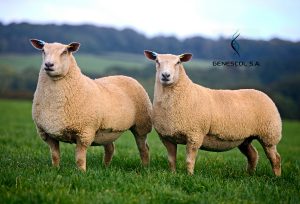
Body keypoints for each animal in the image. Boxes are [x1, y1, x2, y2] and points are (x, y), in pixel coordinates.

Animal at [29, 39, 152, 171]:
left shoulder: (84, 132)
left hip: (141, 125)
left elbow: (79, 158)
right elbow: (55, 155)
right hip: (107, 130)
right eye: (43, 50)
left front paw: (81, 172)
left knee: (143, 148)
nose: (48, 64)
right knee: (110, 148)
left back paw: (145, 167)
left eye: (65, 52)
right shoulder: (47, 134)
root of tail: (125, 76)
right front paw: (55, 170)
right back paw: (105, 167)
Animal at [144, 50, 282, 176]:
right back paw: (249, 175)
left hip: (269, 135)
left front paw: (190, 176)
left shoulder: (195, 135)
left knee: (275, 158)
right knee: (253, 155)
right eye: (157, 61)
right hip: (245, 138)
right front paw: (173, 174)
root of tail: (262, 93)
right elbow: (171, 160)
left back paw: (276, 177)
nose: (165, 75)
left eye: (178, 62)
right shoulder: (167, 137)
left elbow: (189, 160)